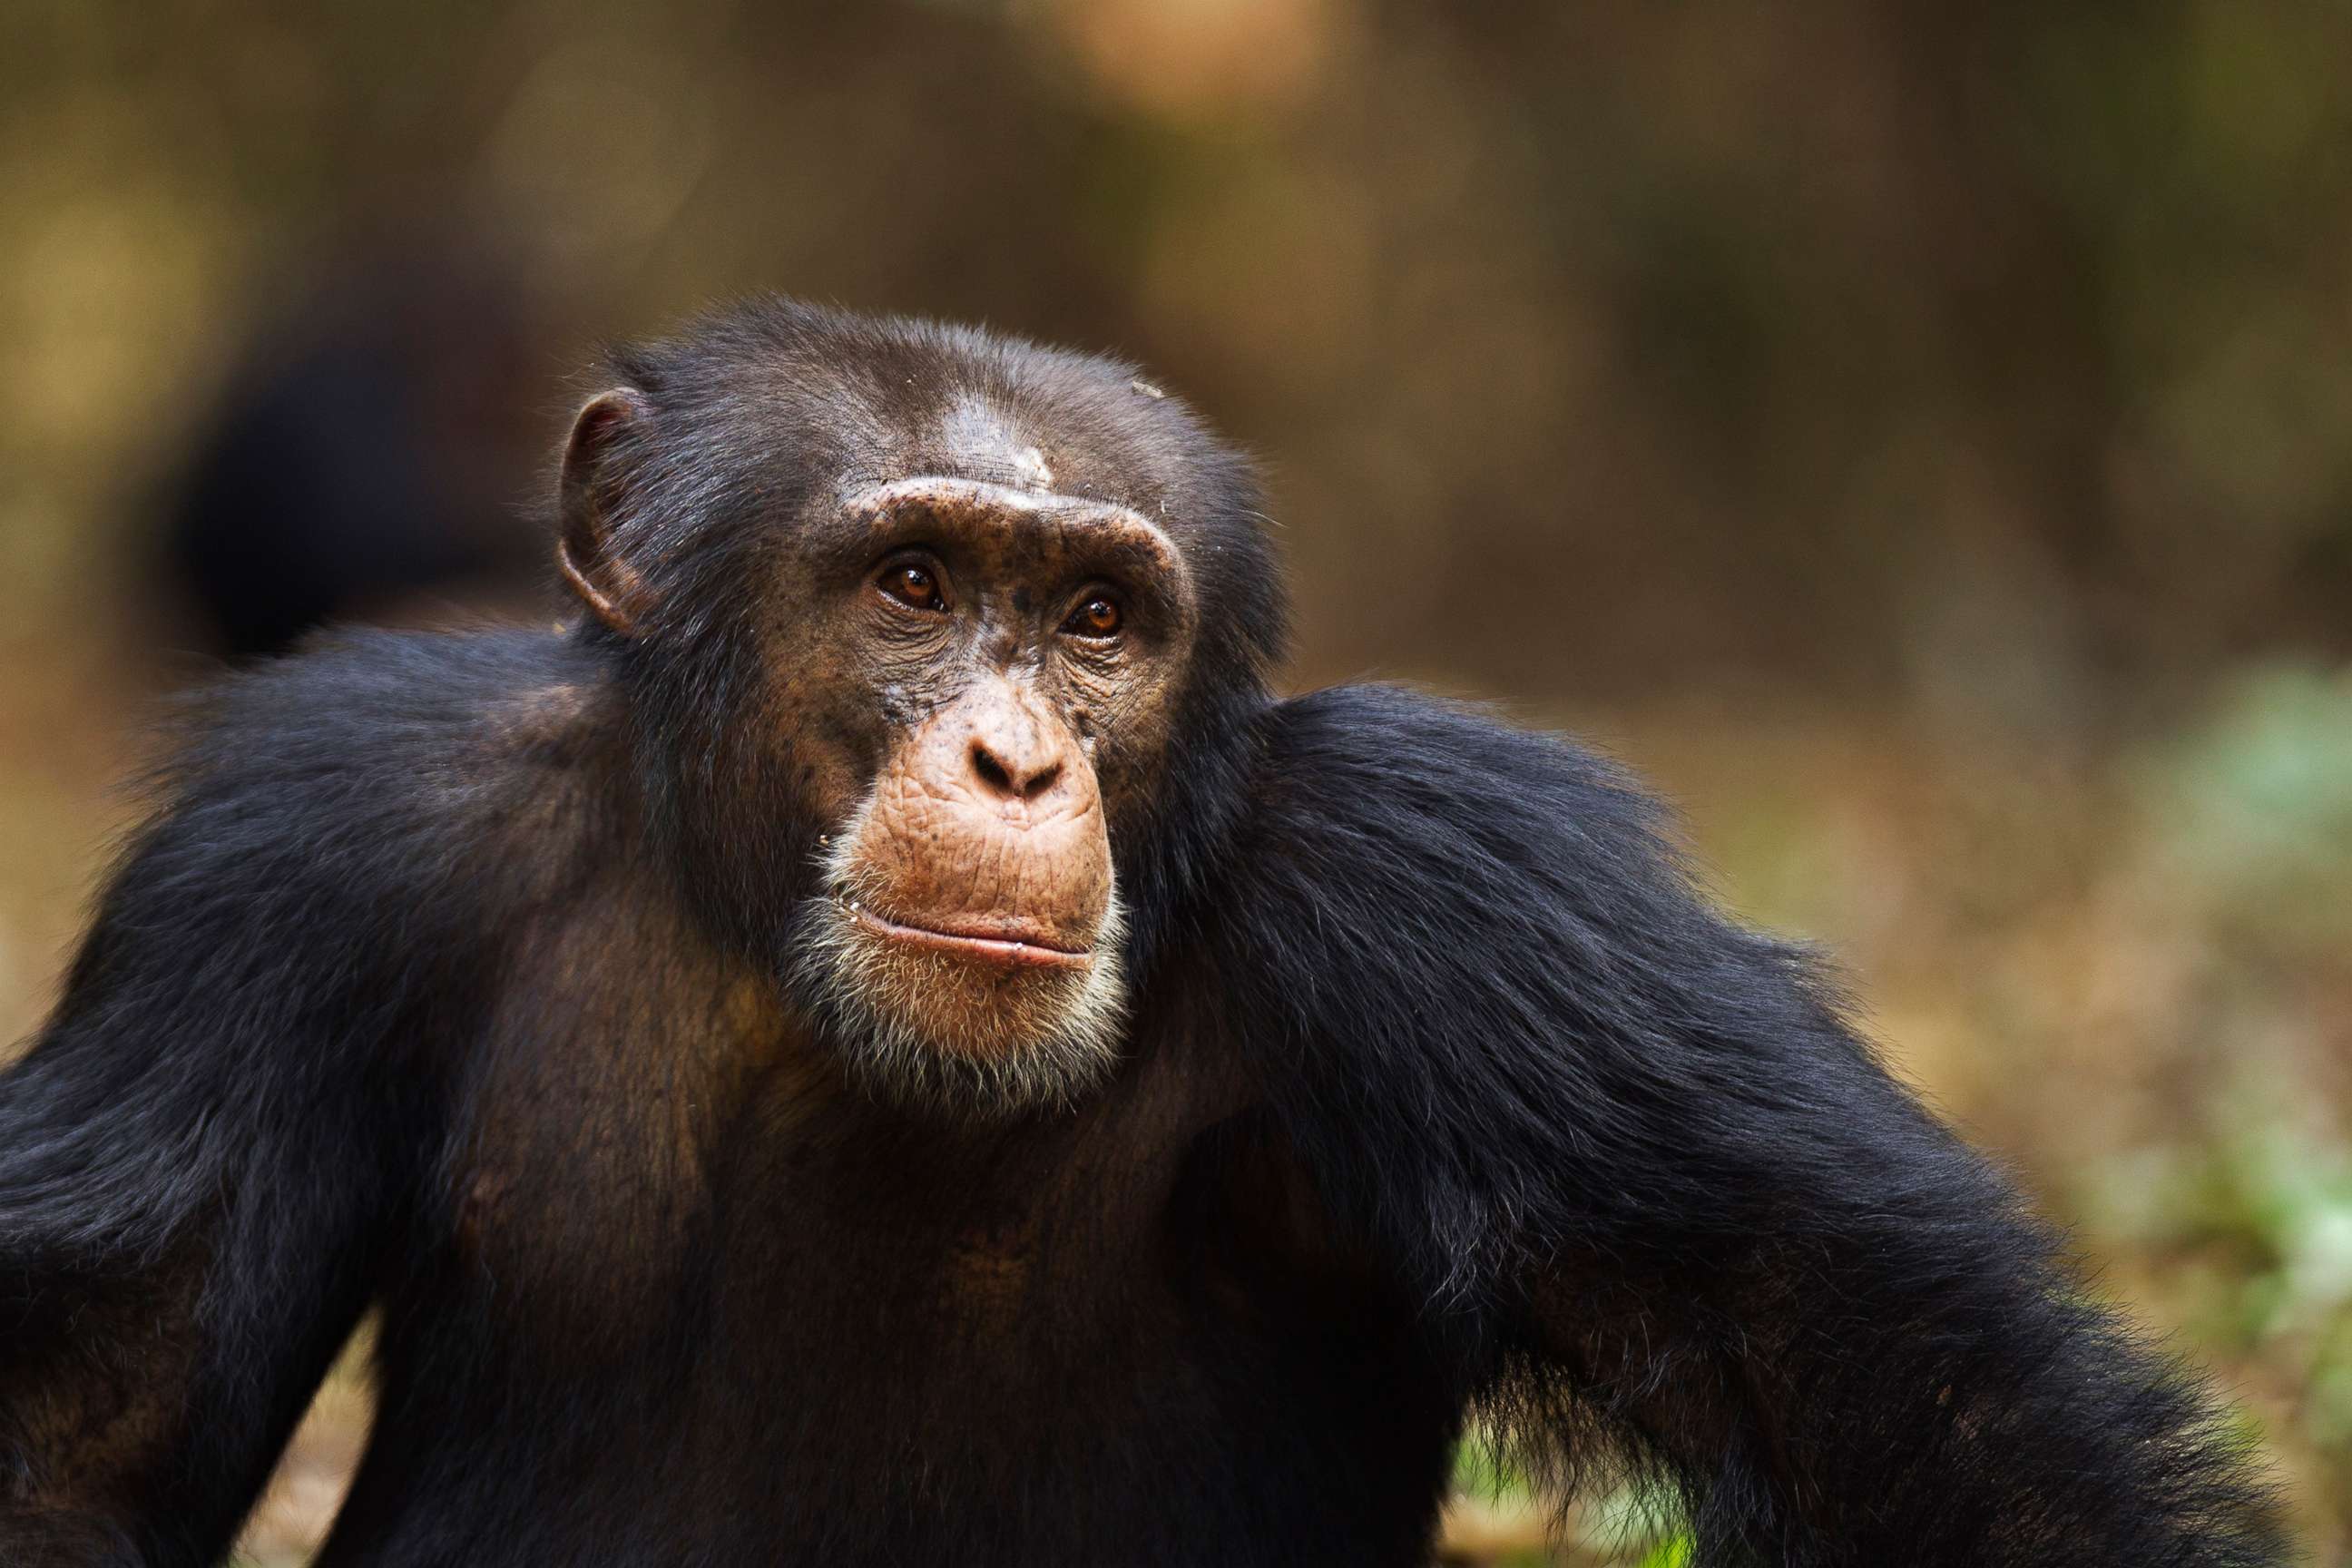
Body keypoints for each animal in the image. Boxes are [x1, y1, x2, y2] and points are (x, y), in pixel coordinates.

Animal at [0, 297, 2286, 1568]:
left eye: (1098, 620)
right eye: (916, 585)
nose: (1019, 761)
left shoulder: (1468, 890)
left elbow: (1885, 1391)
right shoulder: (298, 857)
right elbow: (91, 1409)